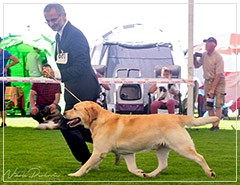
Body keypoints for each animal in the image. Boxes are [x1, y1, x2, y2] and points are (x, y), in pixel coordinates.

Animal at [63, 100, 219, 178]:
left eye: (75, 108)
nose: (64, 112)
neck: (98, 120)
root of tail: (177, 117)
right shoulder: (127, 153)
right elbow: (131, 168)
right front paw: (140, 173)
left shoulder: (99, 152)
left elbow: (85, 164)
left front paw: (75, 174)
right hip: (162, 149)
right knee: (163, 165)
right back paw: (150, 175)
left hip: (182, 147)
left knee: (200, 157)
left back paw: (210, 173)